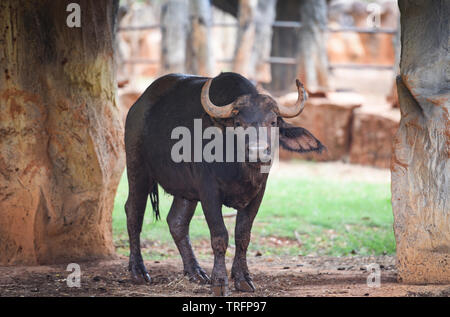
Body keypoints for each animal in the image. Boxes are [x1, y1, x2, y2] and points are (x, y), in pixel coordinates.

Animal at [125, 71, 326, 294]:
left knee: (176, 222)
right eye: (238, 123)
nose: (257, 151)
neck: (240, 168)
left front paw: (242, 278)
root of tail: (138, 106)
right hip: (137, 169)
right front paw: (220, 282)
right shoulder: (209, 192)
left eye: (273, 122)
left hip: (186, 190)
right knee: (133, 213)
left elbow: (243, 235)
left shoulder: (258, 193)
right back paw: (138, 271)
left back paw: (195, 272)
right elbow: (220, 236)